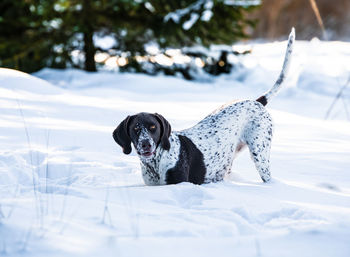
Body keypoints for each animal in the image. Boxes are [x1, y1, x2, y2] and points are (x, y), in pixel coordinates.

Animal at [113, 28, 294, 184]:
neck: (156, 163)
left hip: (260, 154)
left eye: (153, 127)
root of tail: (256, 101)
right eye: (136, 128)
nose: (146, 144)